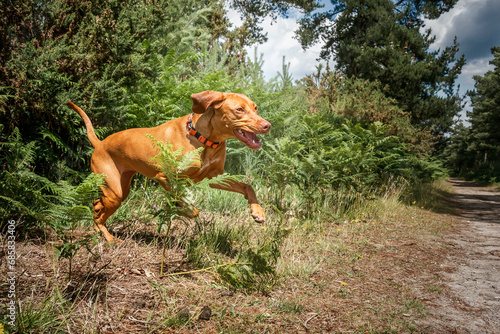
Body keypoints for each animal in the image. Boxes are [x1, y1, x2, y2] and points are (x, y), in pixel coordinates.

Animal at [67, 90, 272, 243]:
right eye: (239, 110)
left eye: (255, 108)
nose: (267, 125)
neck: (204, 139)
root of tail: (99, 143)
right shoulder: (165, 178)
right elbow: (190, 208)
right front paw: (179, 209)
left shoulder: (215, 177)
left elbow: (247, 186)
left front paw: (257, 211)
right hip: (114, 192)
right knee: (100, 213)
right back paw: (108, 237)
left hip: (119, 190)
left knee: (97, 205)